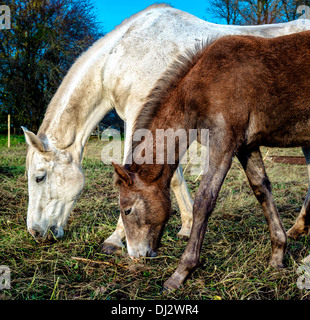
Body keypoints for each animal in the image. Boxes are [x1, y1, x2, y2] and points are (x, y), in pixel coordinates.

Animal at [23, 3, 310, 251]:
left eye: (39, 177)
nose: (35, 232)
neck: (124, 51)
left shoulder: (139, 115)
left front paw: (117, 238)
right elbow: (172, 177)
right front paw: (187, 225)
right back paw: (298, 228)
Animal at [112, 30, 310, 290]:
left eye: (127, 210)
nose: (136, 255)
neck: (205, 84)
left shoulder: (224, 141)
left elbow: (204, 199)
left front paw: (181, 272)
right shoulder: (246, 146)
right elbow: (262, 190)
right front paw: (277, 256)